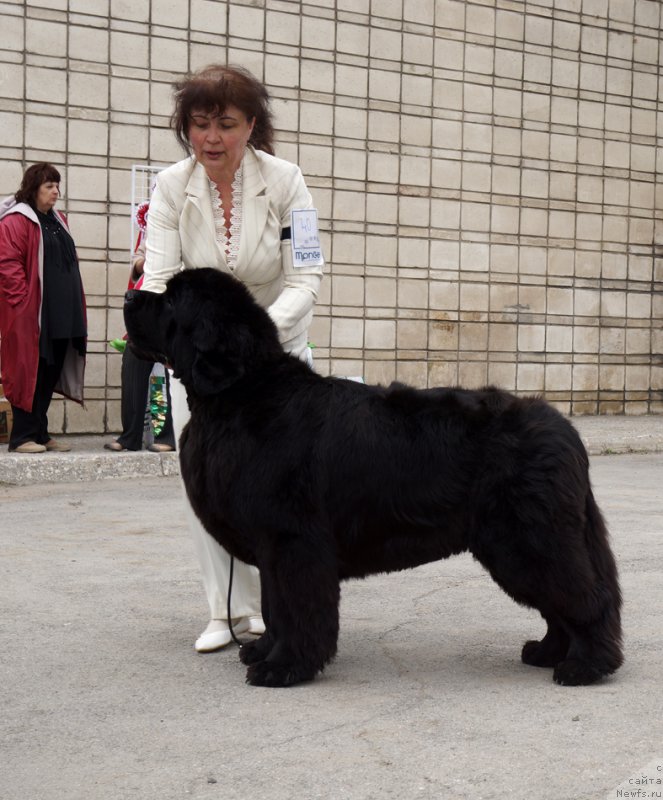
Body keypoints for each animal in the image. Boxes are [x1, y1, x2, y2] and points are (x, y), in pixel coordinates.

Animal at [123, 268, 624, 688]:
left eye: (172, 300)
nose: (129, 294)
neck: (239, 393)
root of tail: (564, 429)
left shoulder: (293, 543)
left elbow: (294, 609)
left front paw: (284, 668)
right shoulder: (273, 549)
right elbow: (272, 606)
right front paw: (264, 652)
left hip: (529, 539)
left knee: (584, 598)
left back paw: (586, 666)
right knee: (560, 605)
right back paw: (547, 652)